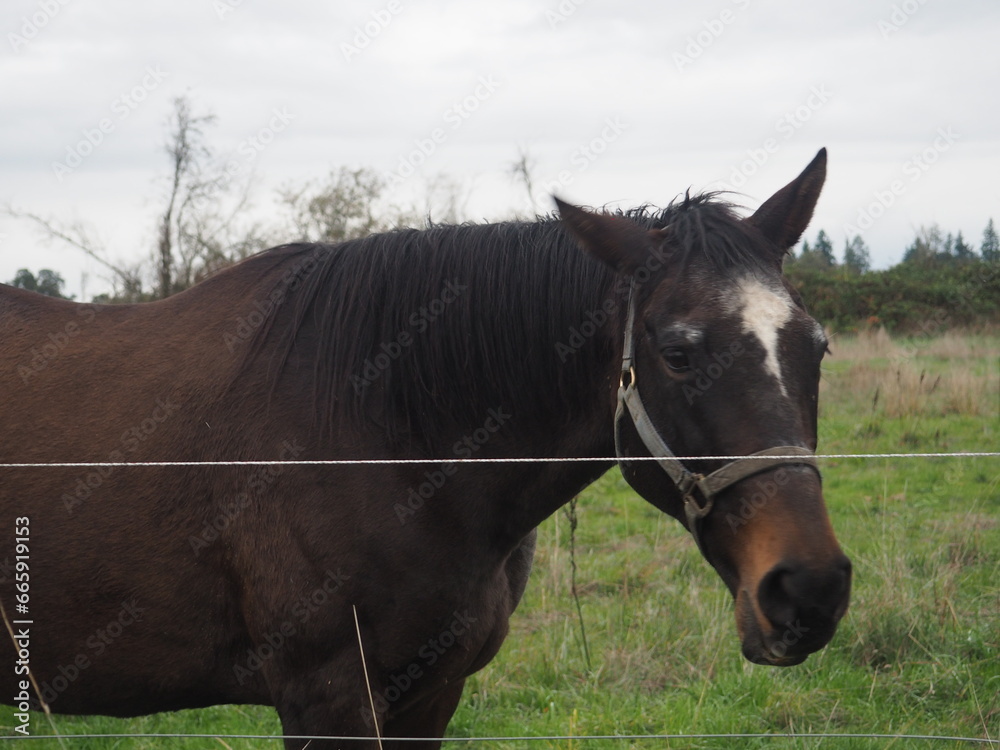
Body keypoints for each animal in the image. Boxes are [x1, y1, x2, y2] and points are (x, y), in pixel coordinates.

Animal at [0, 150, 852, 748]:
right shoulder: (326, 698)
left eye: (816, 347)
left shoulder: (431, 692)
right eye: (677, 354)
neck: (383, 435)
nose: (807, 589)